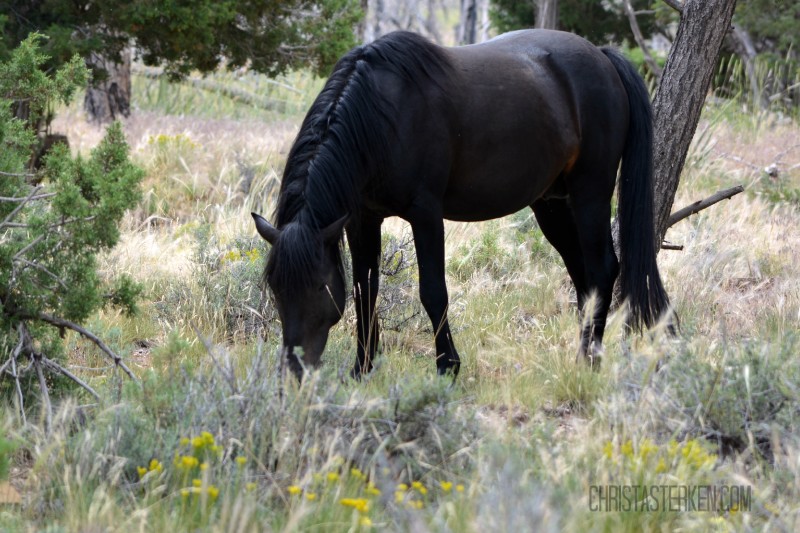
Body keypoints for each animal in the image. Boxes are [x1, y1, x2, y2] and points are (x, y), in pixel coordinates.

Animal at [250, 30, 668, 378]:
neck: (382, 117)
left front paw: (447, 367)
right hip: (551, 205)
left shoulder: (425, 214)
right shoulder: (361, 219)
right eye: (275, 287)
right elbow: (364, 290)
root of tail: (601, 56)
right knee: (583, 277)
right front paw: (362, 368)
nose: (293, 370)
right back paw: (583, 352)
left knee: (602, 269)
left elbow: (433, 291)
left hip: (590, 193)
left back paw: (589, 360)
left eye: (319, 286)